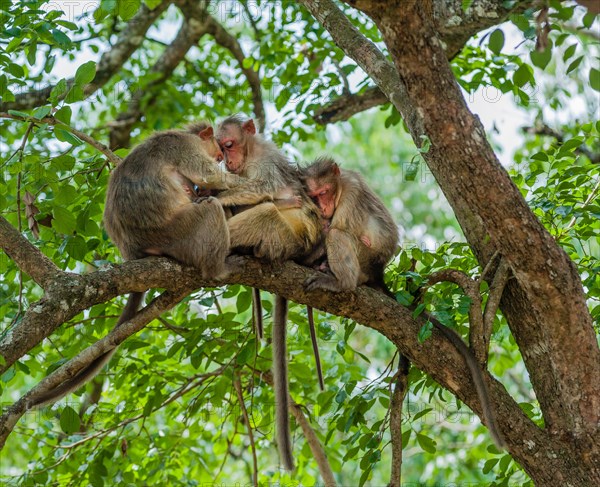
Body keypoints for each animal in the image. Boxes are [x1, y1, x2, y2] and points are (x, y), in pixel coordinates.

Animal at [28, 124, 244, 410]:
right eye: (219, 151)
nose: (222, 158)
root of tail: (134, 252)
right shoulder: (182, 146)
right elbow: (208, 177)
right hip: (180, 232)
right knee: (208, 209)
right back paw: (218, 267)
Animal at [217, 116, 324, 470]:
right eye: (220, 148)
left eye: (229, 145)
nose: (226, 162)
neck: (250, 153)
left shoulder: (264, 161)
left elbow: (262, 189)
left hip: (287, 237)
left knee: (266, 212)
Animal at [302, 158, 504, 448]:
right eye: (316, 196)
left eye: (326, 192)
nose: (325, 206)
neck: (339, 190)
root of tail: (377, 273)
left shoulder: (351, 192)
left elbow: (334, 227)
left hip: (363, 259)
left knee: (338, 234)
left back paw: (341, 282)